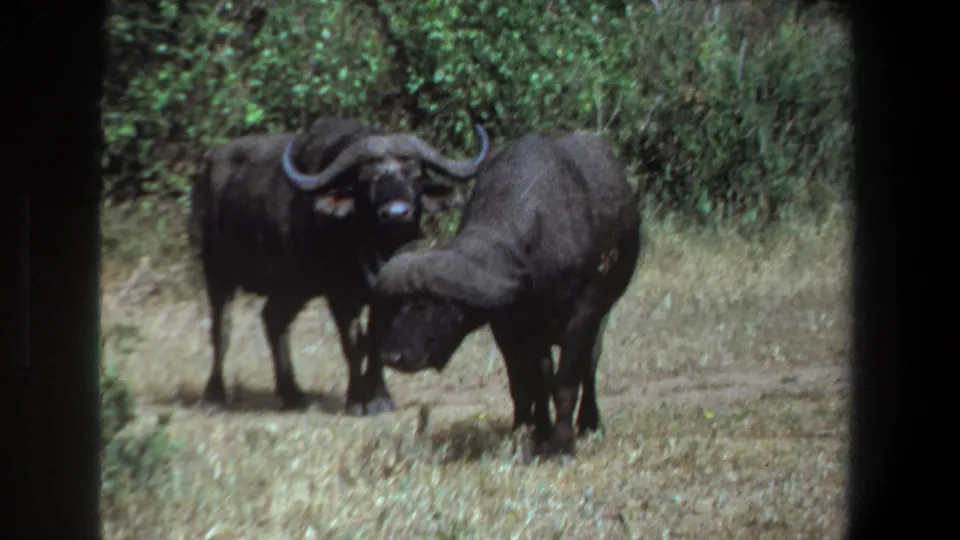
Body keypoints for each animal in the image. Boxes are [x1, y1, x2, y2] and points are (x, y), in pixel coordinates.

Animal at [188, 117, 490, 414]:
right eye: (366, 179)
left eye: (415, 175)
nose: (396, 214)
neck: (376, 250)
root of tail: (210, 161)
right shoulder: (340, 294)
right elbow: (355, 343)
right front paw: (357, 399)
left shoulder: (386, 297)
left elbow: (378, 341)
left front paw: (380, 397)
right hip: (217, 271)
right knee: (222, 329)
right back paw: (215, 397)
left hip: (294, 287)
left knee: (274, 319)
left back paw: (293, 394)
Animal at [373, 130, 644, 457]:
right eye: (397, 304)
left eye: (432, 304)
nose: (393, 355)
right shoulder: (508, 326)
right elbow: (527, 381)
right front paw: (532, 431)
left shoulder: (584, 316)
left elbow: (566, 380)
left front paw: (562, 443)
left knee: (590, 363)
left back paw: (589, 422)